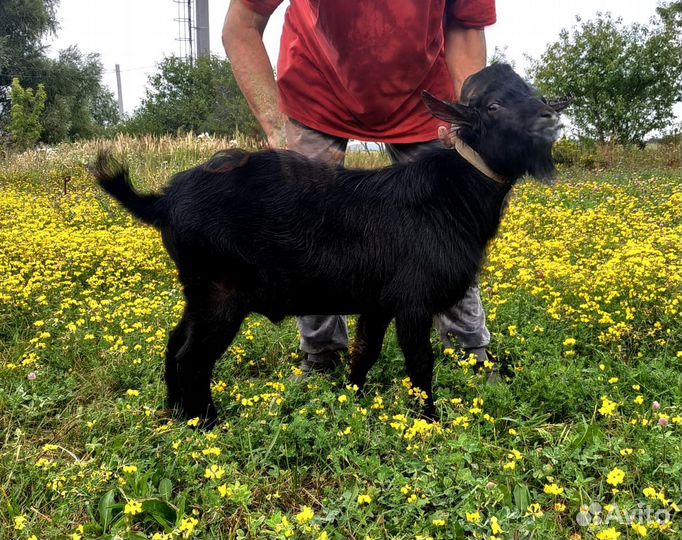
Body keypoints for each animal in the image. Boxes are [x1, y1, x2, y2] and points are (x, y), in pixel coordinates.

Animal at [91, 64, 568, 426]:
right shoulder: (411, 300)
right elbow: (420, 363)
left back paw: (173, 412)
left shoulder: (378, 301)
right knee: (192, 356)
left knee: (174, 343)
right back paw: (206, 423)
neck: (452, 192)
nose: (550, 119)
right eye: (493, 106)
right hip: (221, 292)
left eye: (535, 93)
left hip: (199, 290)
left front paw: (354, 399)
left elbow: (365, 352)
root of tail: (162, 200)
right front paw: (428, 421)